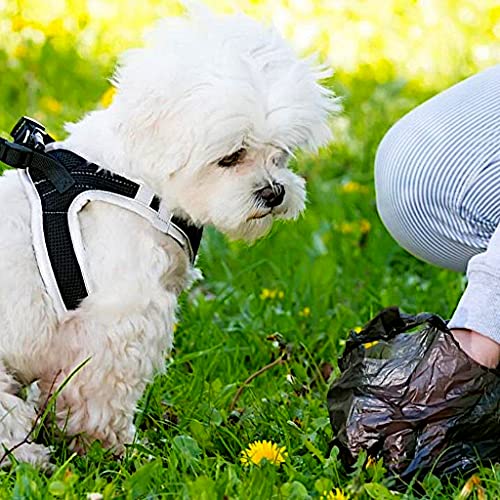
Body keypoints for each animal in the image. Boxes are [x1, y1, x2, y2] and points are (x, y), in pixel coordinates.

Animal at [0, 4, 338, 468]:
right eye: (231, 156)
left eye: (280, 153)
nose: (274, 192)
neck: (134, 180)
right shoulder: (118, 321)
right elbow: (99, 397)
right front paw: (112, 448)